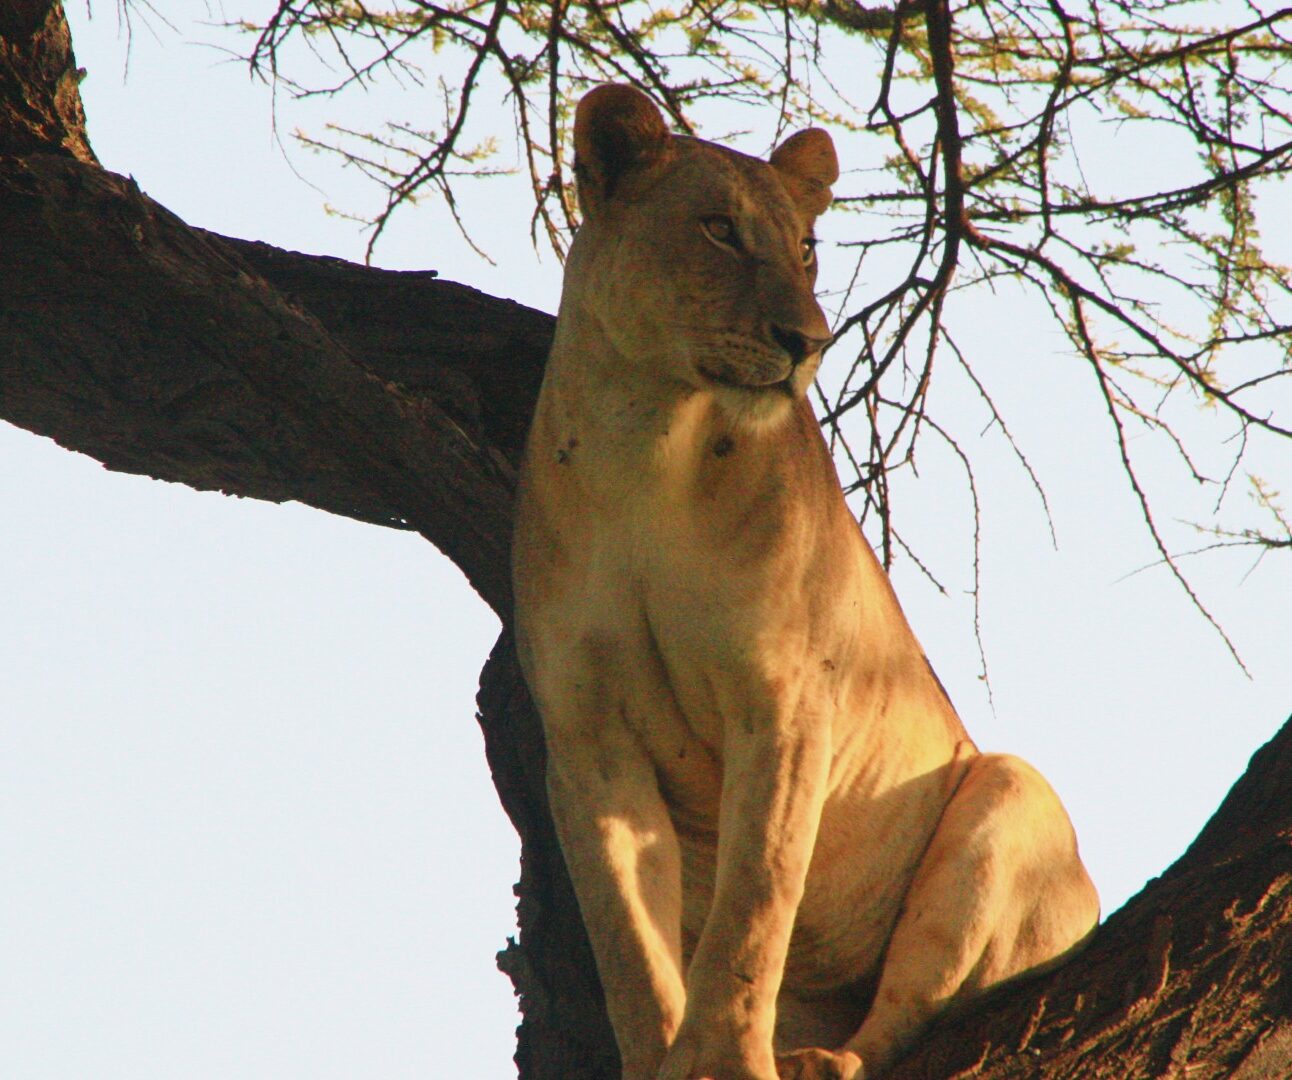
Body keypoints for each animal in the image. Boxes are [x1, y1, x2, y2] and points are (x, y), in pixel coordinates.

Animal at [511, 84, 1099, 1080]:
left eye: (807, 249)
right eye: (718, 230)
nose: (807, 341)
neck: (646, 447)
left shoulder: (785, 702)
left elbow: (754, 907)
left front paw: (723, 1060)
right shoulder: (587, 738)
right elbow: (628, 939)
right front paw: (662, 1054)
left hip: (1011, 793)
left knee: (912, 1005)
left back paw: (827, 1059)